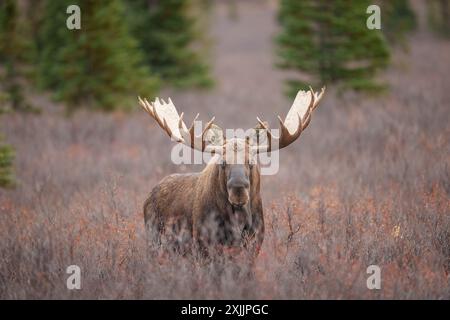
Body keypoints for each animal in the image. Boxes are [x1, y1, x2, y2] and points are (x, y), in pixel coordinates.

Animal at [139, 86, 326, 258]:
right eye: (222, 162)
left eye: (251, 162)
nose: (238, 191)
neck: (237, 222)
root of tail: (149, 196)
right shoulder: (203, 244)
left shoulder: (255, 244)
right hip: (154, 238)